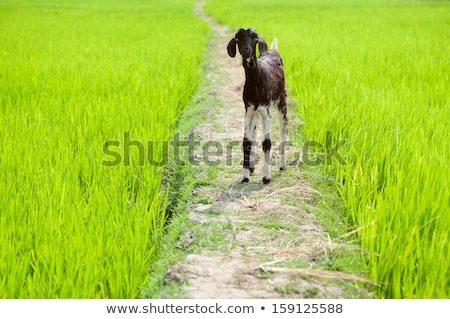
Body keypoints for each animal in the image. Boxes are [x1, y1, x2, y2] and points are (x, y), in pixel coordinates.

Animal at [229, 29, 288, 186]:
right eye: (238, 39)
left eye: (255, 38)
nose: (246, 50)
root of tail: (273, 51)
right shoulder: (248, 110)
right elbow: (247, 142)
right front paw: (244, 176)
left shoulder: (266, 111)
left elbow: (267, 143)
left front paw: (266, 177)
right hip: (255, 113)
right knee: (255, 132)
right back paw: (251, 167)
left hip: (282, 102)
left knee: (284, 130)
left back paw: (282, 166)